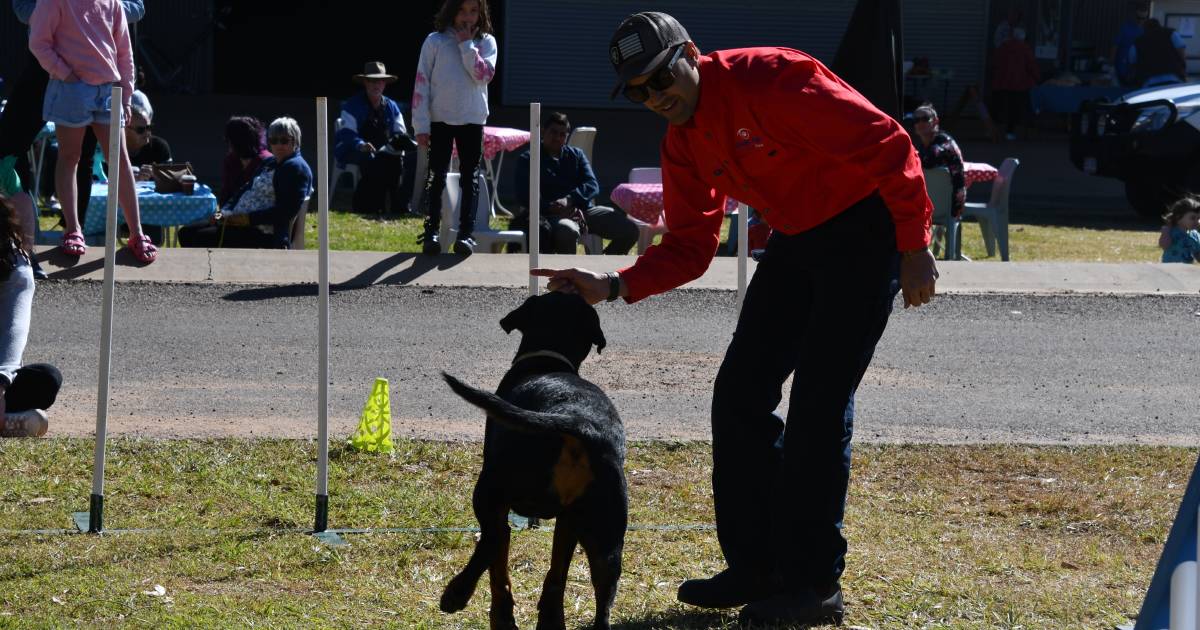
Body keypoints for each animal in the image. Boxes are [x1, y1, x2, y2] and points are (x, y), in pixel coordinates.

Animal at [441, 294, 628, 628]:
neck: (547, 358)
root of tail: (579, 422)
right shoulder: (568, 522)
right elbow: (557, 569)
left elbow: (499, 566)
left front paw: (501, 613)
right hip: (607, 533)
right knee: (602, 599)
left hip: (491, 490)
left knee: (492, 539)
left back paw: (458, 593)